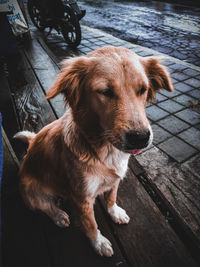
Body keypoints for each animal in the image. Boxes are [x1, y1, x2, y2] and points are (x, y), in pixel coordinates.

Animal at [14, 46, 173, 258]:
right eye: (106, 91)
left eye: (143, 89)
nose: (140, 137)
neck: (105, 150)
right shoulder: (82, 198)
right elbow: (90, 224)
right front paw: (99, 243)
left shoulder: (115, 180)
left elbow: (111, 197)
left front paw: (115, 212)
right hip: (29, 193)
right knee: (46, 206)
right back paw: (59, 215)